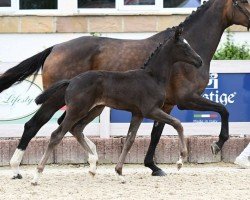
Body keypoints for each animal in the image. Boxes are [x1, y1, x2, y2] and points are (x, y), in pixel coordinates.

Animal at [0, 0, 249, 178]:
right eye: (242, 2)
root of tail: (55, 47)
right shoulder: (186, 99)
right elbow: (223, 110)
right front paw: (217, 144)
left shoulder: (164, 104)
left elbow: (156, 133)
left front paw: (153, 167)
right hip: (57, 100)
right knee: (36, 125)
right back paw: (17, 168)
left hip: (92, 106)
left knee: (67, 125)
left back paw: (93, 160)